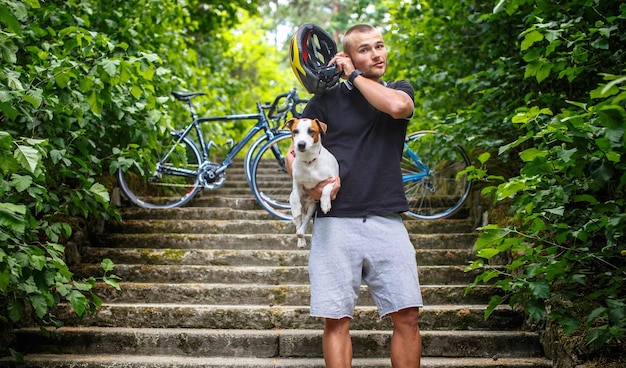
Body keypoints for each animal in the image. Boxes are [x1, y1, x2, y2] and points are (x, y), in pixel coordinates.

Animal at [286, 118, 338, 247]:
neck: (309, 161)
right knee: (299, 222)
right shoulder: (297, 184)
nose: (301, 144)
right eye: (295, 131)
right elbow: (295, 196)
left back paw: (301, 233)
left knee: (305, 221)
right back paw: (300, 239)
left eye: (311, 131)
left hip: (312, 207)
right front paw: (296, 208)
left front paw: (325, 204)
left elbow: (326, 189)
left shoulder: (333, 180)